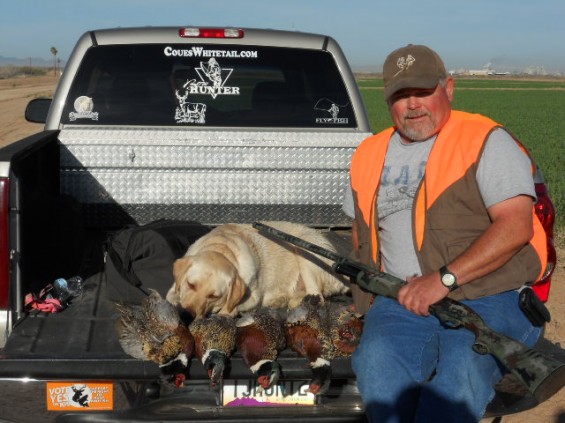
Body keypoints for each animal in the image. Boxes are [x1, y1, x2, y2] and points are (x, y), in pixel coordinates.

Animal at [164, 222, 348, 318]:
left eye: (214, 296)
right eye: (190, 284)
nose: (187, 314)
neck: (222, 248)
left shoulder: (253, 297)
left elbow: (230, 308)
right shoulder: (174, 287)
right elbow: (172, 297)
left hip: (303, 249)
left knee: (318, 297)